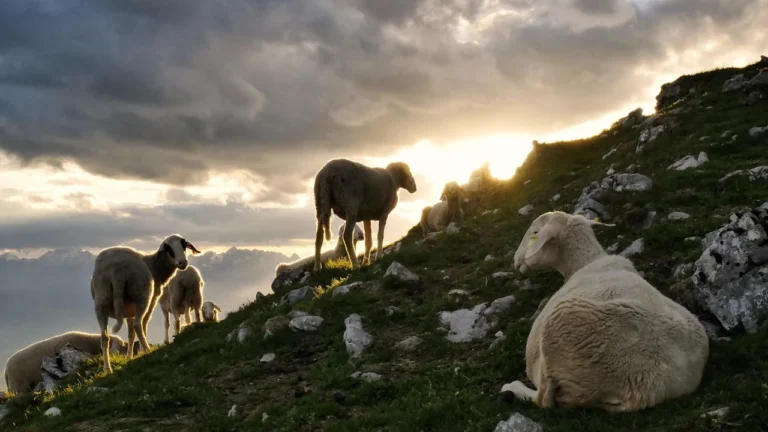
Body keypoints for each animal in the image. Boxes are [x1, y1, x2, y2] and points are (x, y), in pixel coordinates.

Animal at [90, 235, 201, 372]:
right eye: (169, 249)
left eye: (184, 245)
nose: (183, 263)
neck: (155, 266)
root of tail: (117, 271)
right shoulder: (152, 300)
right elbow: (143, 326)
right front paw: (141, 352)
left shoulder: (128, 310)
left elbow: (131, 334)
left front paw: (129, 357)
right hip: (142, 295)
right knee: (138, 325)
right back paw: (148, 350)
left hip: (101, 299)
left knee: (105, 337)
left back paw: (108, 369)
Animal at [508, 212, 712, 412]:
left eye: (535, 232)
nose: (515, 260)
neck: (584, 263)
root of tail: (647, 392)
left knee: (543, 400)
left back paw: (511, 388)